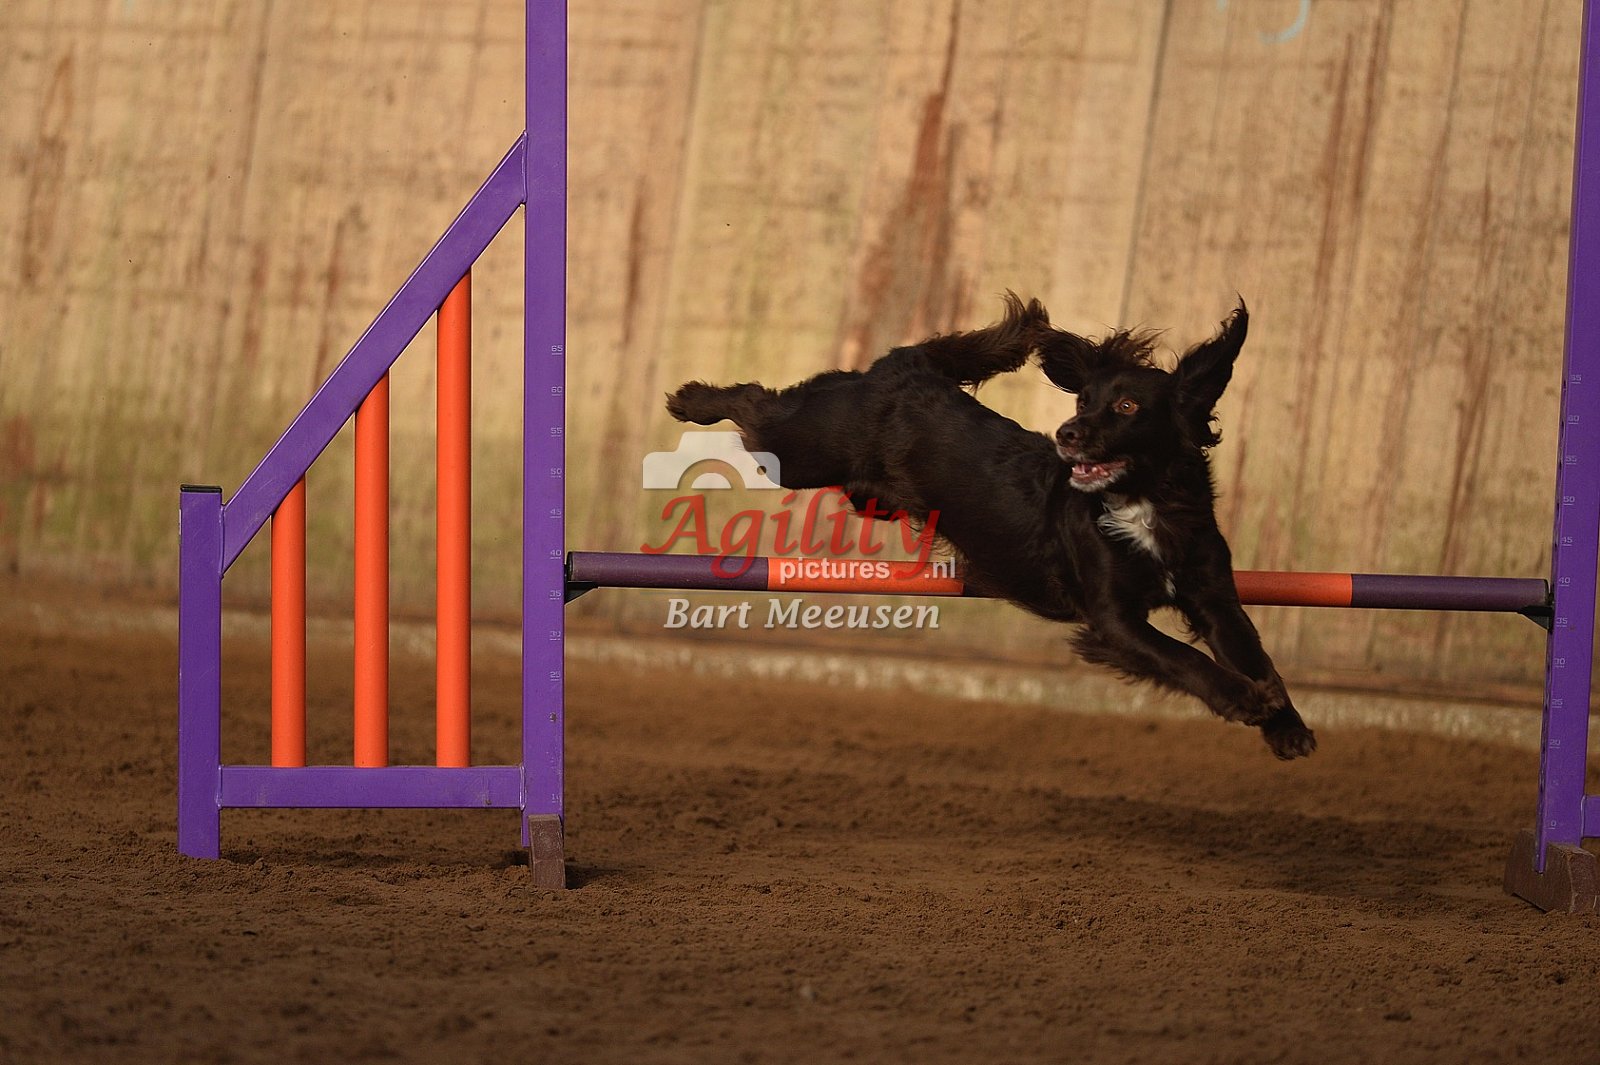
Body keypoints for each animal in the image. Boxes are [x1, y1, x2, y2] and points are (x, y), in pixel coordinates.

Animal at [667, 294, 1316, 759]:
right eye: (1082, 401)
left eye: (1128, 406)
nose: (1066, 433)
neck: (1145, 504)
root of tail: (907, 366)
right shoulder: (1113, 619)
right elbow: (1185, 659)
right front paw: (1246, 700)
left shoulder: (1213, 596)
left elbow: (1255, 653)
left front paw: (1287, 724)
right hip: (802, 449)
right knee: (756, 404)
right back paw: (691, 399)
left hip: (860, 487)